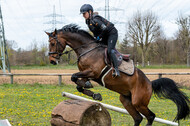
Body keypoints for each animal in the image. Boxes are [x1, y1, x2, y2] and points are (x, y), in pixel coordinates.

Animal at [45, 24, 189, 125]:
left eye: (52, 43)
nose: (52, 61)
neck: (87, 50)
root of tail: (150, 83)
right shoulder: (87, 74)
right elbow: (78, 83)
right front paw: (94, 93)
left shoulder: (93, 72)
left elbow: (74, 77)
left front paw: (92, 90)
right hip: (126, 100)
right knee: (138, 118)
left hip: (139, 102)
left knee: (150, 116)